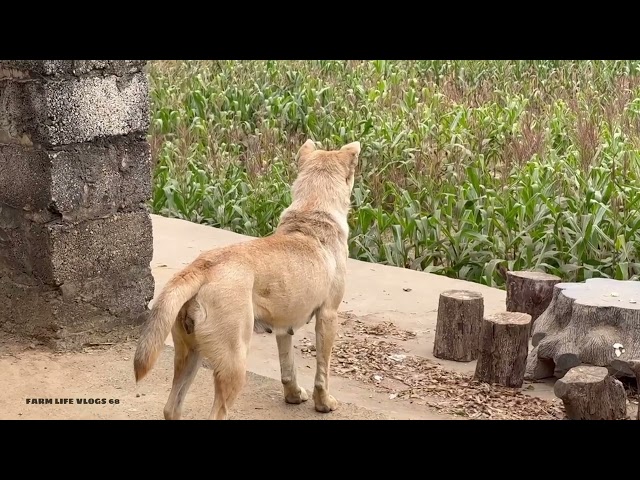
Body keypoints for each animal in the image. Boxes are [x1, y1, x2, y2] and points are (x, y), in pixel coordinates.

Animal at [132, 139, 360, 420]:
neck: (312, 211)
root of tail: (201, 268)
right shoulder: (328, 316)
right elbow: (322, 371)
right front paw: (324, 403)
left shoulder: (284, 326)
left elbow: (288, 368)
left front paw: (293, 395)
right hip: (234, 362)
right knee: (217, 413)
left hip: (189, 354)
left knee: (171, 408)